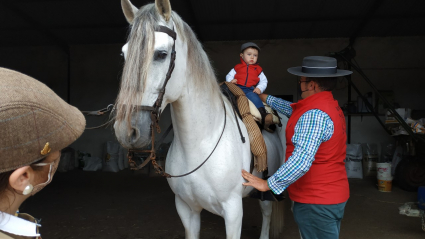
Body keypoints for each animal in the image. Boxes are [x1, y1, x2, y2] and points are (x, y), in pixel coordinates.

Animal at [112, 0, 286, 238]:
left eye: (161, 54)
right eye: (124, 54)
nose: (126, 130)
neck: (200, 144)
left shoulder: (233, 213)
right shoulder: (187, 209)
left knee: (267, 212)